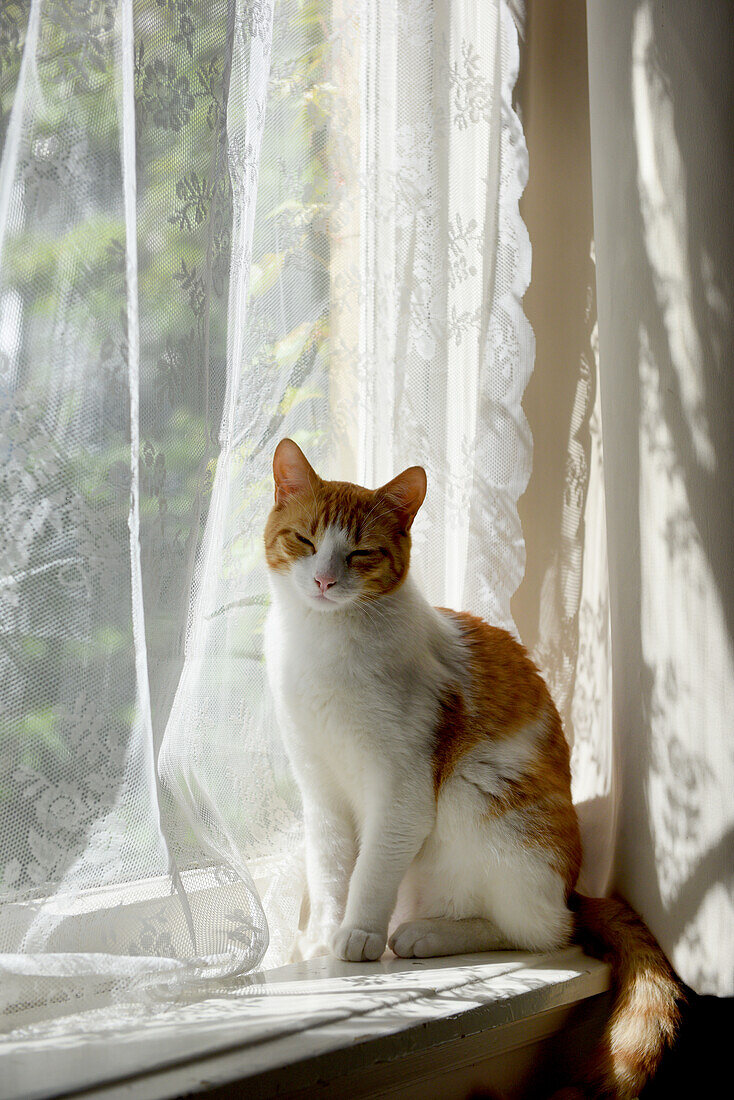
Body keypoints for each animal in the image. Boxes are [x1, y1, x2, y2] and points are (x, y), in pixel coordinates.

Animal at [263, 437, 682, 1100]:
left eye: (360, 552)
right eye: (304, 540)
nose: (326, 580)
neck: (325, 644)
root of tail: (573, 886)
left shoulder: (404, 786)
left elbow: (372, 868)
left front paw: (358, 933)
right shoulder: (320, 788)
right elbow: (331, 867)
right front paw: (324, 937)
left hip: (473, 788)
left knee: (545, 930)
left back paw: (429, 934)